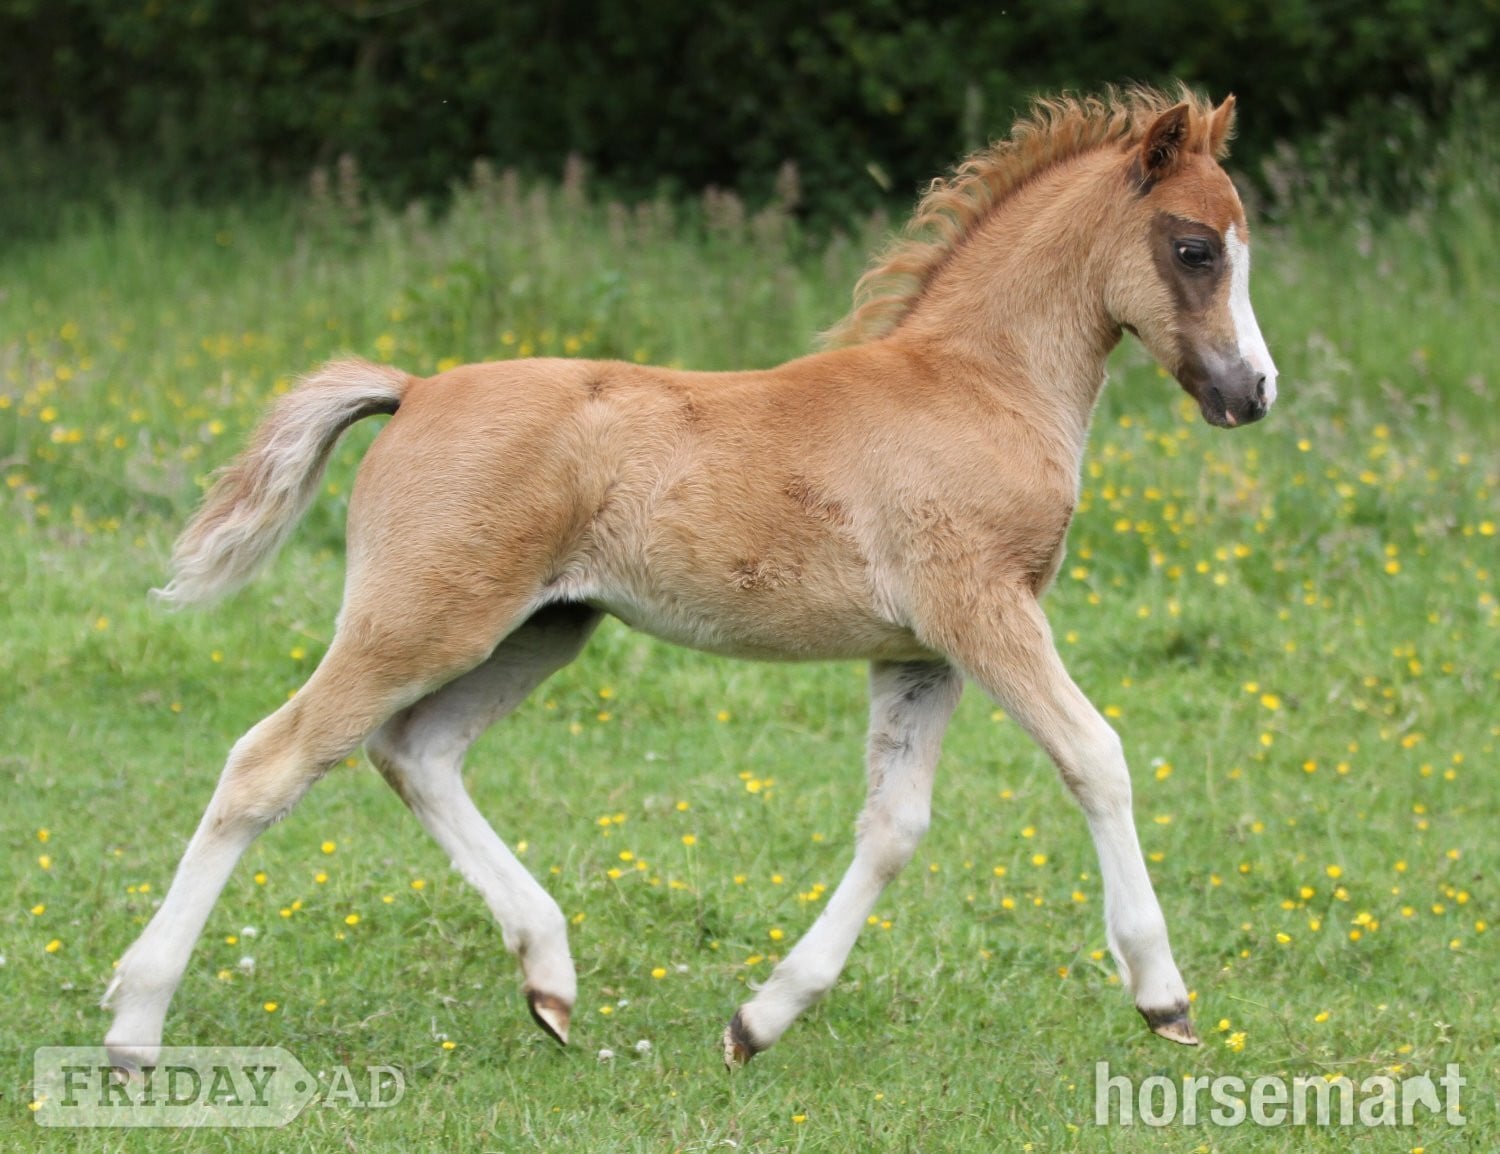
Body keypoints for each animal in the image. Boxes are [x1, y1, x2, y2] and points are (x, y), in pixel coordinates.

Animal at [103, 85, 1278, 1072]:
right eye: (1193, 247)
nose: (1253, 392)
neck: (977, 383)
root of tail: (417, 388)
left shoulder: (920, 652)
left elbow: (893, 827)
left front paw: (760, 1019)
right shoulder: (984, 611)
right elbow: (1098, 758)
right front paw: (1164, 996)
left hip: (542, 626)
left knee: (416, 750)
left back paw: (550, 979)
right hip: (424, 618)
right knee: (271, 761)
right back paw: (134, 1024)